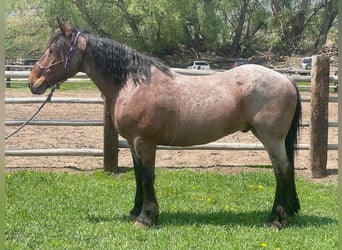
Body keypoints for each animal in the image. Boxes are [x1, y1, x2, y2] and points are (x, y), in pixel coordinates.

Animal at [30, 18, 302, 230]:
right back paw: (288, 213)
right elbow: (138, 175)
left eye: (54, 50)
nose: (34, 81)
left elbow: (147, 176)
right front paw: (136, 211)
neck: (133, 83)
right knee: (287, 171)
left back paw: (275, 219)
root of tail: (286, 80)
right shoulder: (133, 143)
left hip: (271, 139)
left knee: (282, 171)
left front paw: (146, 218)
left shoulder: (144, 142)